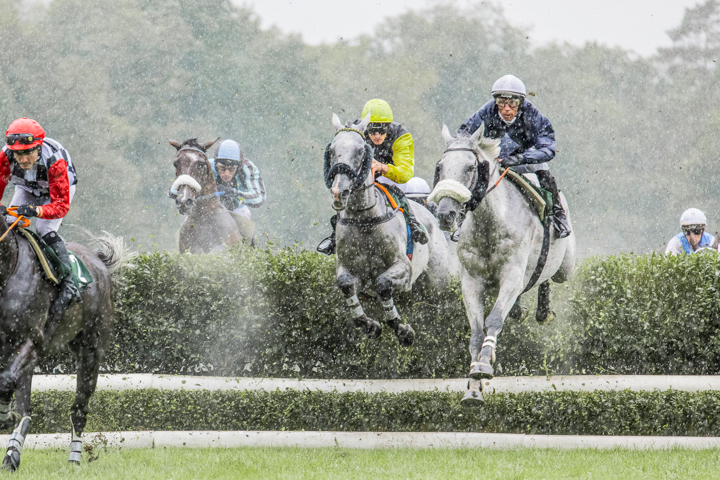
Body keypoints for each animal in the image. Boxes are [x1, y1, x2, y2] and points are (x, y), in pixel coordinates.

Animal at [0, 224, 125, 468]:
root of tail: (99, 262)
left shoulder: (30, 339)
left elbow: (5, 381)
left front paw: (4, 417)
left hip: (91, 351)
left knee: (79, 408)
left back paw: (74, 459)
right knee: (25, 407)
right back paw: (11, 455)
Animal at [326, 112, 450, 344]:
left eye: (360, 150)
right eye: (331, 150)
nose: (339, 192)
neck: (365, 220)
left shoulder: (404, 269)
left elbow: (383, 283)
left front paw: (403, 330)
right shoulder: (347, 269)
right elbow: (346, 284)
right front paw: (370, 325)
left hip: (440, 282)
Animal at [428, 123, 572, 404]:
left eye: (470, 168)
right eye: (440, 167)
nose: (446, 215)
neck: (489, 225)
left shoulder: (512, 275)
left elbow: (493, 319)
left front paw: (484, 364)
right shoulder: (471, 281)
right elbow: (476, 330)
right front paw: (473, 385)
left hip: (565, 266)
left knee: (548, 276)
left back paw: (543, 309)